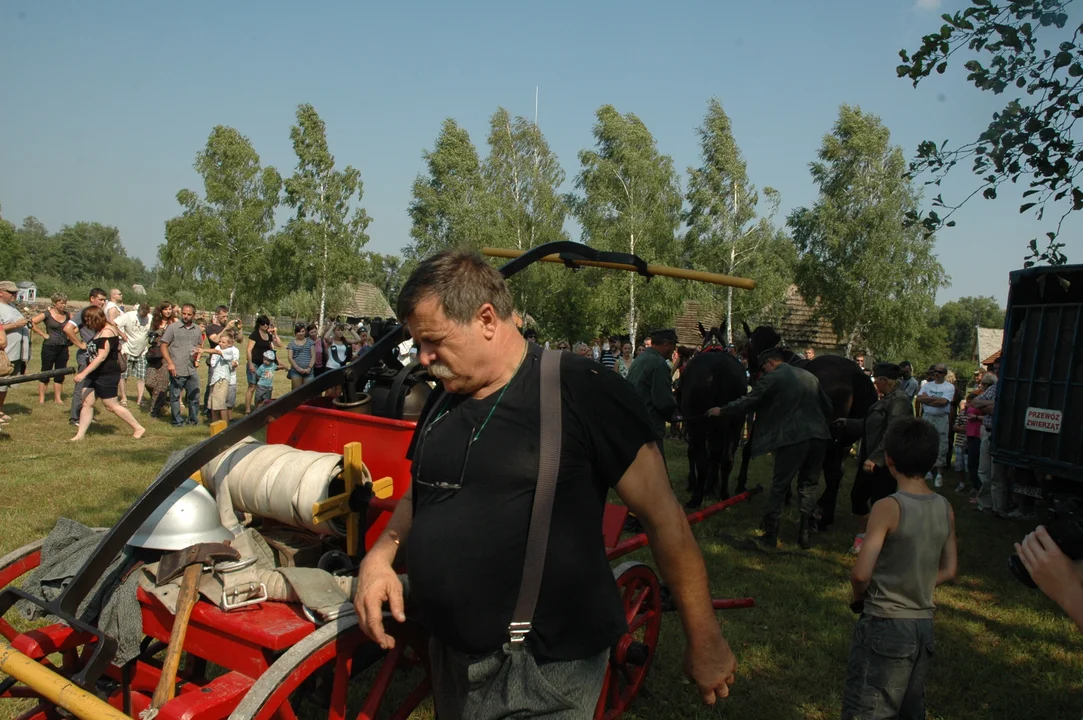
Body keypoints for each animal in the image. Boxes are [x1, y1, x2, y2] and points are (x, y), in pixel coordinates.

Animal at [675, 322, 745, 508]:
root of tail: (718, 371)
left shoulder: (692, 424)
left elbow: (693, 452)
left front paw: (694, 483)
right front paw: (711, 485)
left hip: (697, 424)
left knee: (702, 459)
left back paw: (697, 497)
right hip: (736, 422)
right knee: (726, 459)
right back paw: (724, 494)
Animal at [736, 322, 879, 526]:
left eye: (747, 348)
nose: (752, 375)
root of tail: (856, 376)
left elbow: (750, 449)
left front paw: (741, 484)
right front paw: (787, 494)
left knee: (832, 472)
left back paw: (822, 514)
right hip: (845, 438)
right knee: (837, 473)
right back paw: (825, 512)